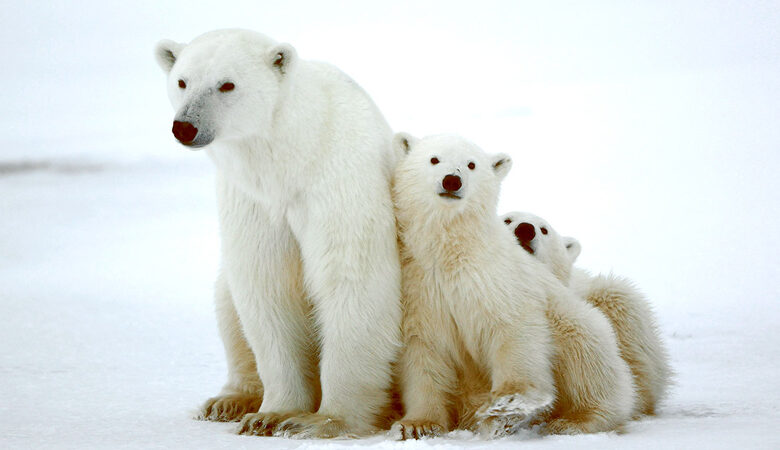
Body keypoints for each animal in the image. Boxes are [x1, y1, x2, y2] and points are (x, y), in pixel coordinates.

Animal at [156, 29, 406, 438]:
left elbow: (352, 281)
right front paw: (271, 414)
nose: (185, 127)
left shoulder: (339, 183)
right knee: (227, 302)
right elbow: (267, 286)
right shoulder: (253, 201)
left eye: (227, 84)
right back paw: (228, 401)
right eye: (182, 81)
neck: (292, 157)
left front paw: (322, 420)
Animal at [394, 134, 636, 440]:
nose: (452, 181)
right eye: (434, 159)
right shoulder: (421, 289)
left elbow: (514, 329)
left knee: (587, 360)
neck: (452, 252)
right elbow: (424, 353)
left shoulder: (499, 278)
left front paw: (507, 405)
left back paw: (575, 420)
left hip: (578, 323)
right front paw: (418, 424)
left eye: (471, 164)